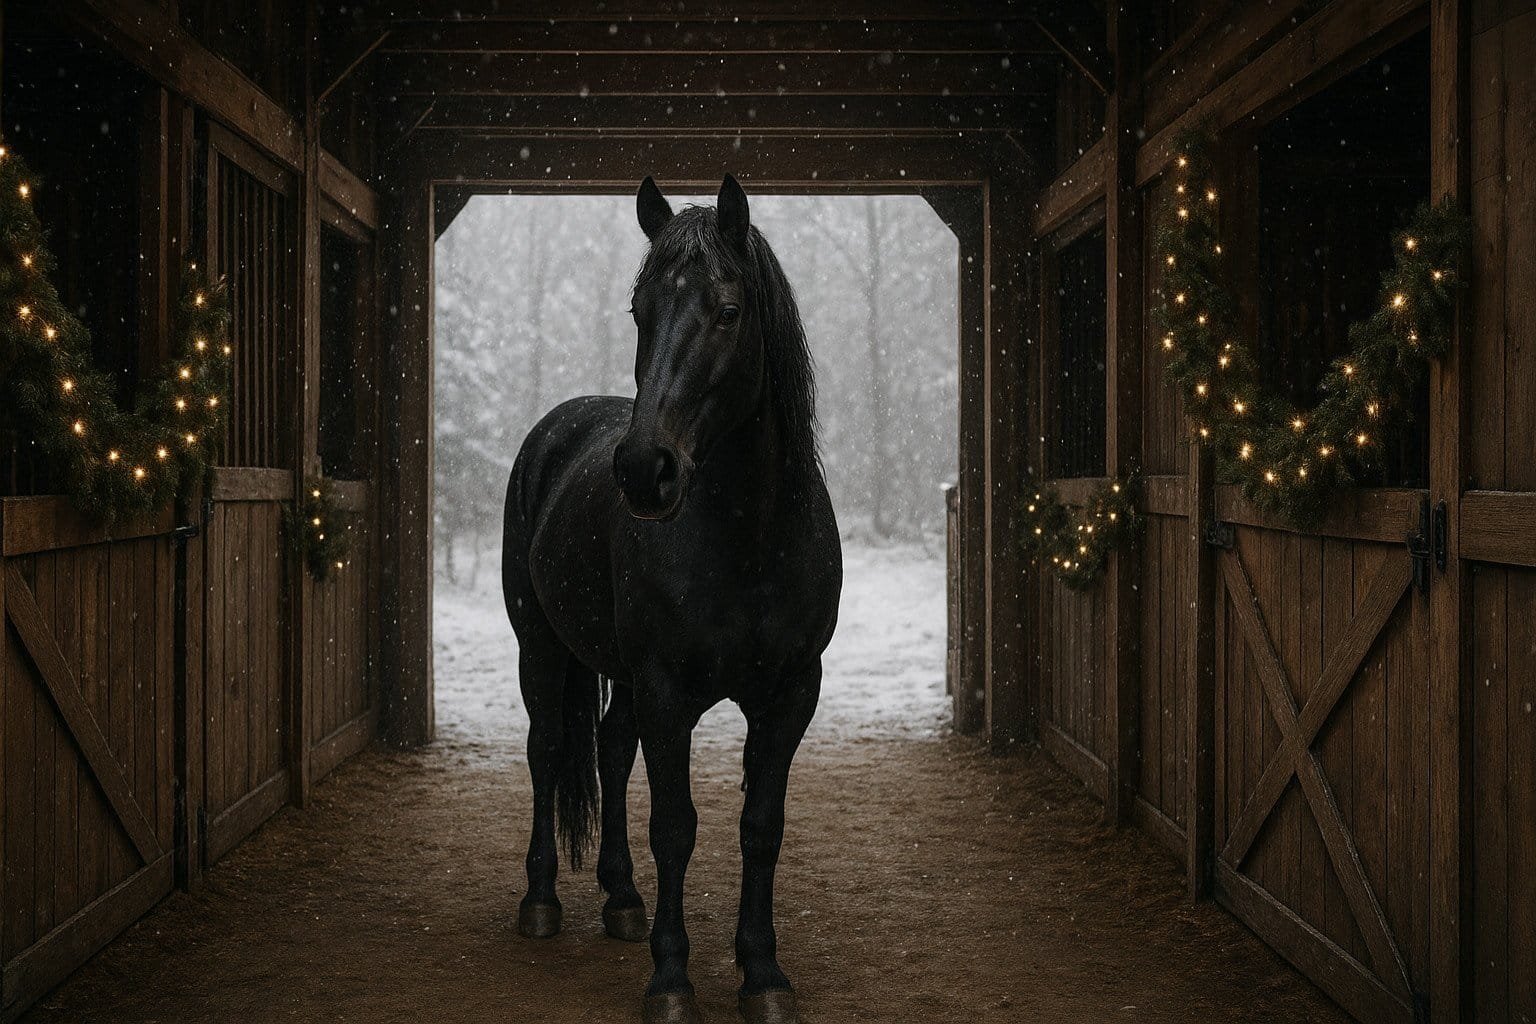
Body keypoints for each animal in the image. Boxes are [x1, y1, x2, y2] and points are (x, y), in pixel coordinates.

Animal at [501, 175, 842, 1024]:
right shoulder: (666, 692)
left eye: (727, 310)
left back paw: (621, 899)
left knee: (611, 748)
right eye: (639, 312)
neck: (751, 542)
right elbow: (677, 827)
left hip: (617, 674)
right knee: (548, 749)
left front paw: (762, 972)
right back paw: (541, 901)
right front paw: (671, 979)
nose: (643, 470)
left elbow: (760, 825)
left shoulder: (791, 693)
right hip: (539, 646)